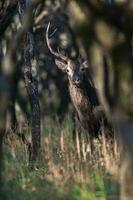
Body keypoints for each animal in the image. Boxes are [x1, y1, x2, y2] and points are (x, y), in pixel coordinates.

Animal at [45, 22, 113, 150]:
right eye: (67, 70)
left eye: (82, 69)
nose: (76, 79)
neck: (87, 113)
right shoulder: (85, 128)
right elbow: (90, 149)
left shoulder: (104, 125)